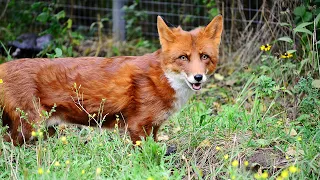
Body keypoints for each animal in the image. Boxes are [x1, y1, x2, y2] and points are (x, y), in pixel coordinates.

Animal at [0, 15, 224, 145]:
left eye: (204, 56)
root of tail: (4, 66)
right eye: (183, 57)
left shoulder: (154, 128)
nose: (198, 77)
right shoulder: (137, 126)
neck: (161, 78)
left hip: (42, 131)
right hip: (28, 129)